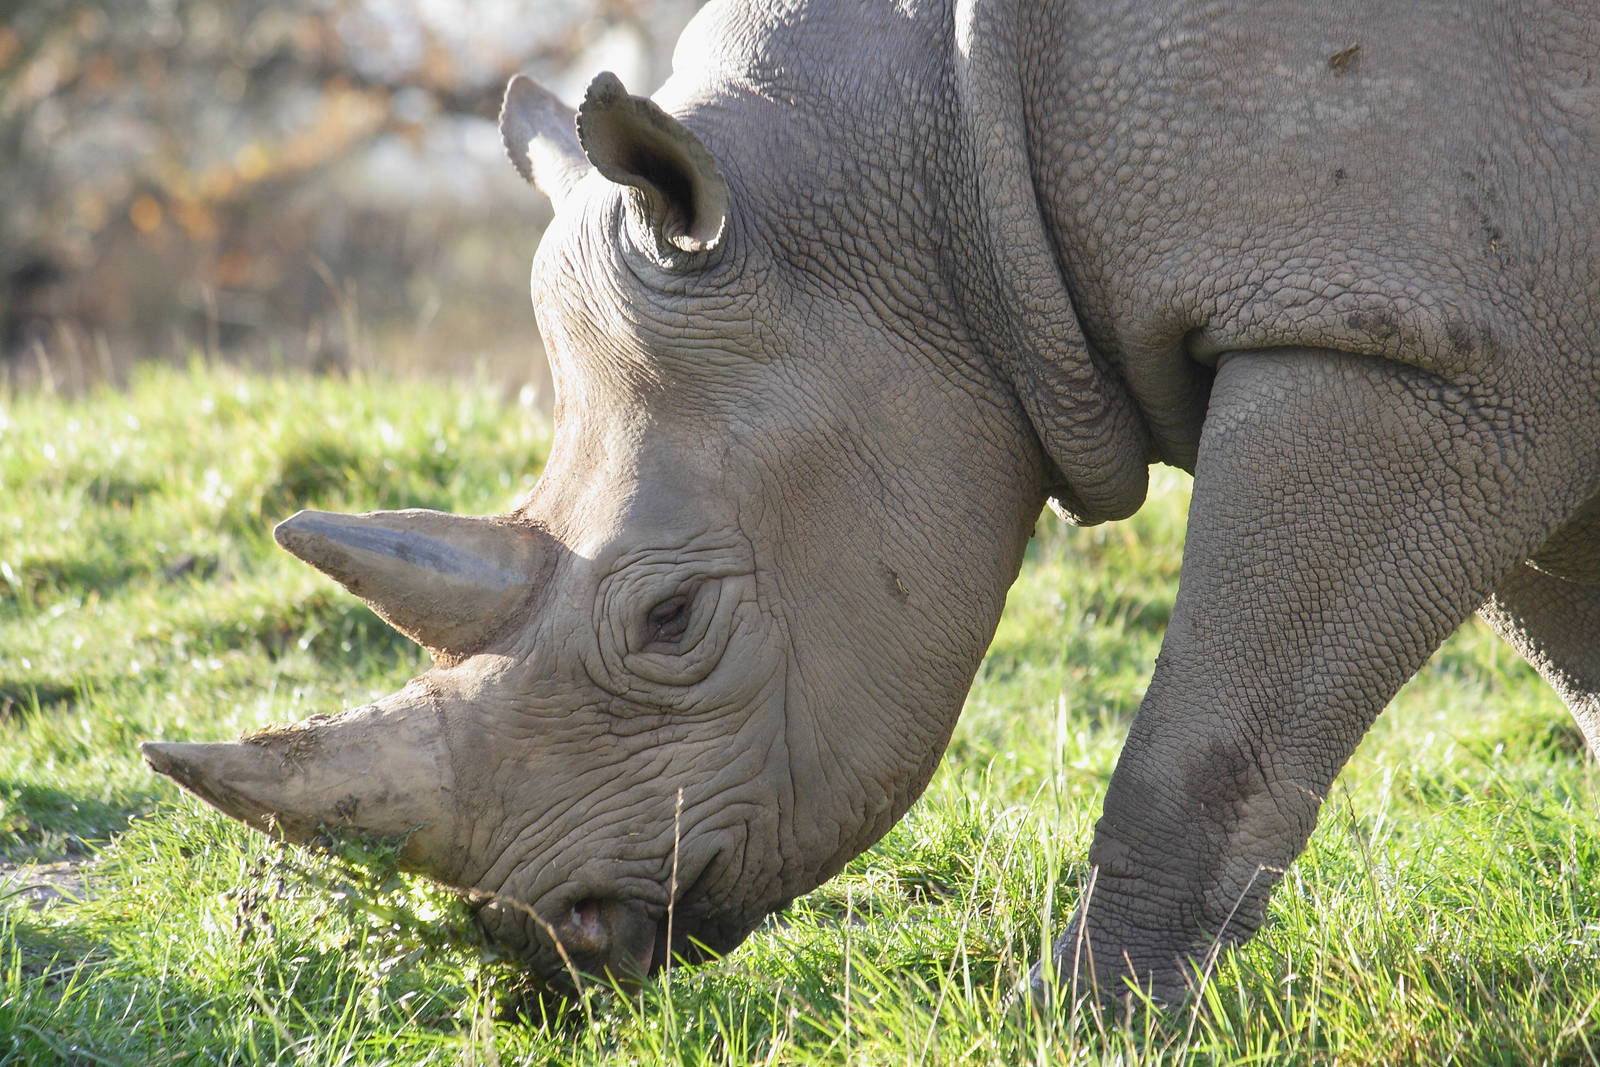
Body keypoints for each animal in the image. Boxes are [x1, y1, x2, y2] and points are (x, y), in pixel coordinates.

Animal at [142, 0, 1599, 1003]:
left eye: (672, 619)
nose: (536, 938)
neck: (943, 197)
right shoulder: (1505, 349)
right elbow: (1582, 667)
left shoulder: (1401, 347)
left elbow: (1205, 742)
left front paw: (1073, 1022)